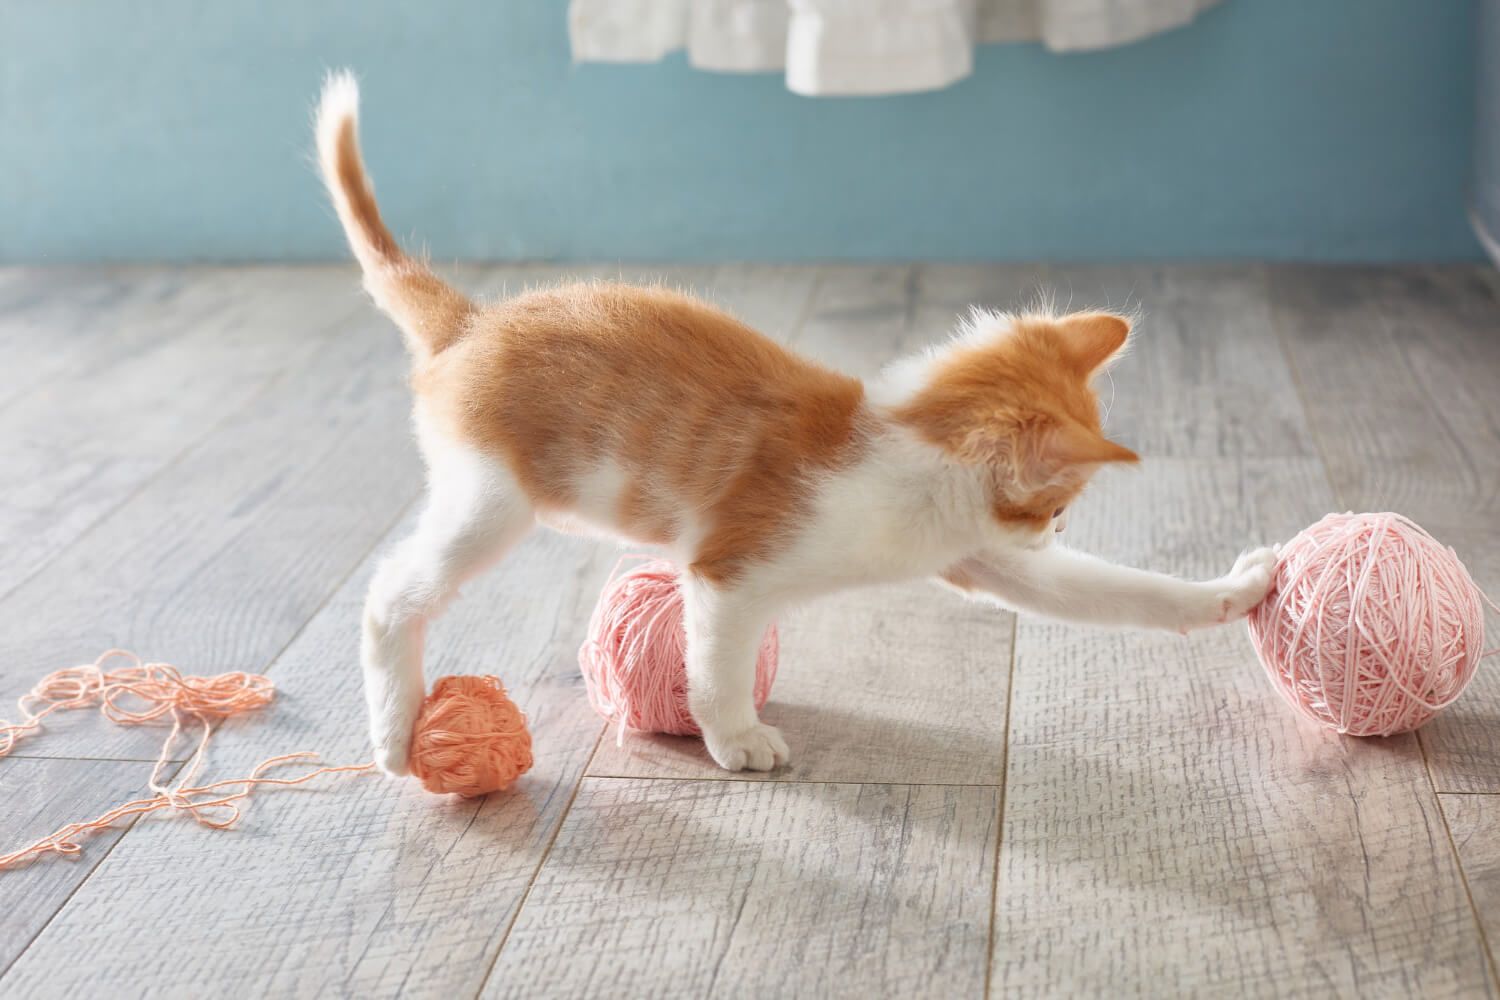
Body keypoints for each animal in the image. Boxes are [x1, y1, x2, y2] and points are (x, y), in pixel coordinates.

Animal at [316, 74, 1278, 779]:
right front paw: (735, 737)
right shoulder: (726, 574)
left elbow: (1118, 592)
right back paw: (394, 727)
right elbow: (715, 664)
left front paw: (1236, 590)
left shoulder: (982, 557)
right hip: (491, 502)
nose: (1057, 530)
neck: (902, 446)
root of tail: (472, 323)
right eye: (1058, 503)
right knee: (390, 593)